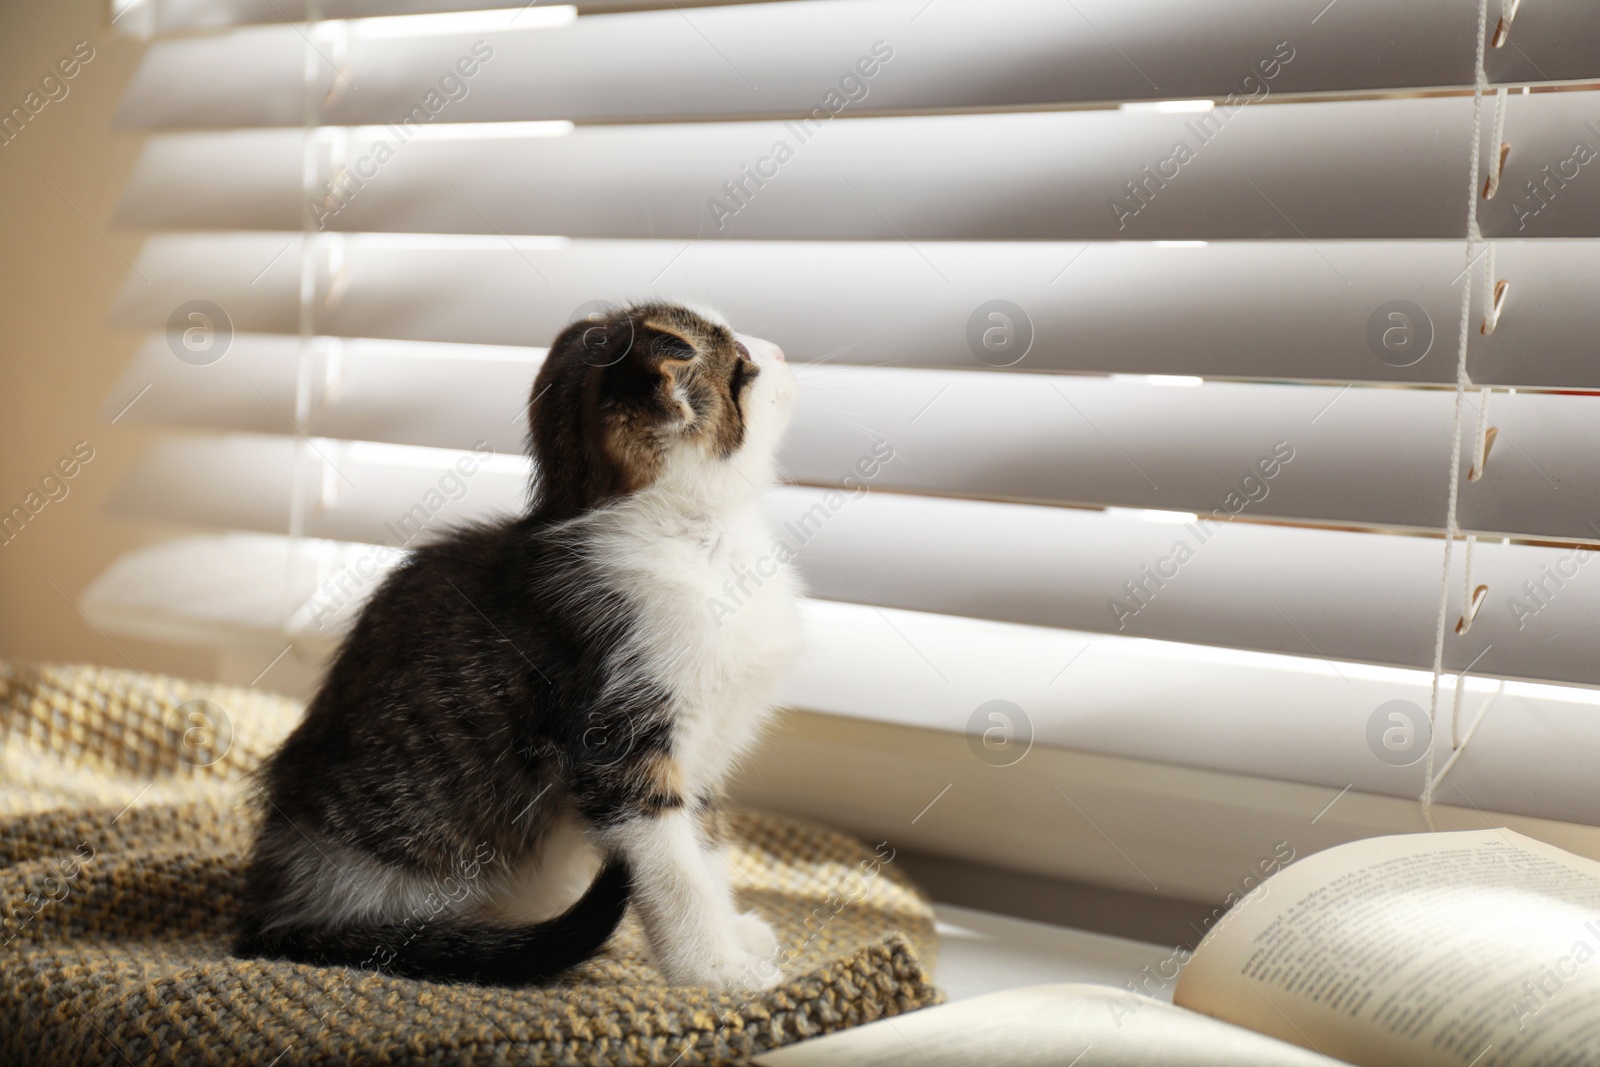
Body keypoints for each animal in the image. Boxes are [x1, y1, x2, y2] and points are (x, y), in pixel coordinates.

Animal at [232, 303, 806, 991]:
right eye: (742, 361)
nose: (783, 350)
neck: (704, 540)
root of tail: (272, 911)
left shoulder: (703, 753)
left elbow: (707, 846)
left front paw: (735, 936)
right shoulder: (617, 740)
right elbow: (673, 865)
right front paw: (713, 968)